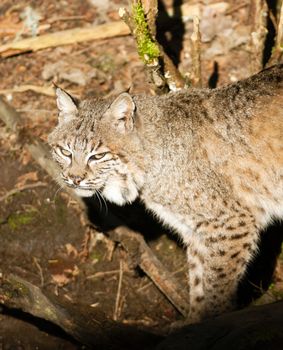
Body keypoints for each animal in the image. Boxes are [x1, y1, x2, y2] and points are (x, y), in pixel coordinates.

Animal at [48, 65, 283, 322]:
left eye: (98, 156)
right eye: (65, 152)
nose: (74, 179)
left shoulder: (233, 223)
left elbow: (216, 286)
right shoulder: (195, 230)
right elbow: (199, 282)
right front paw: (192, 322)